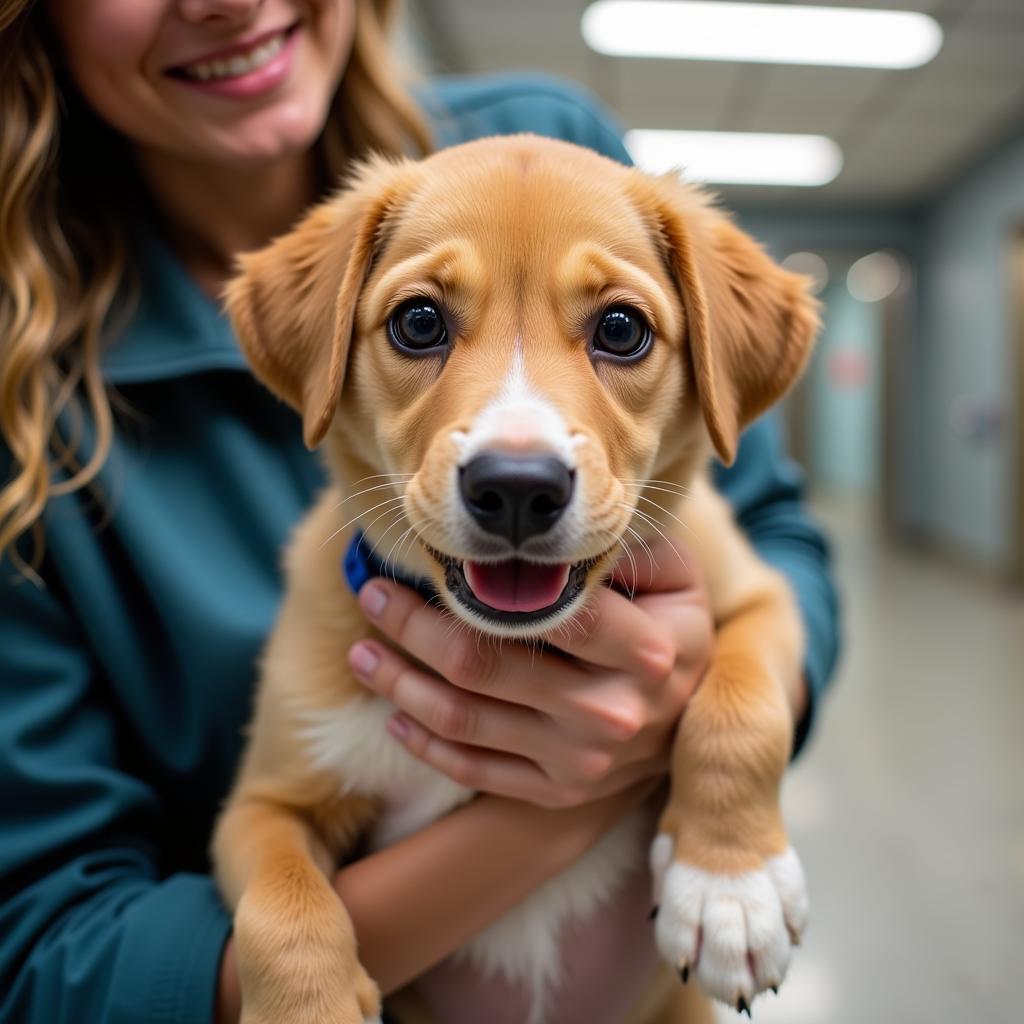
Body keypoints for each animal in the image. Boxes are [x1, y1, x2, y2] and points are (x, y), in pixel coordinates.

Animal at [216, 134, 815, 1024]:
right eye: (419, 322)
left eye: (622, 329)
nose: (518, 488)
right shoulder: (263, 800)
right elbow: (282, 902)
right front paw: (307, 1007)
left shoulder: (757, 597)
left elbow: (741, 707)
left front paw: (730, 887)